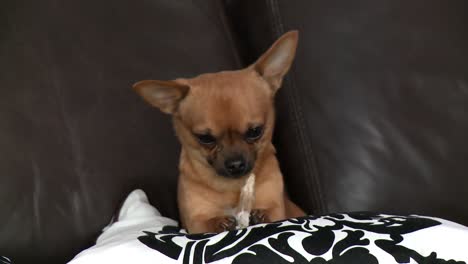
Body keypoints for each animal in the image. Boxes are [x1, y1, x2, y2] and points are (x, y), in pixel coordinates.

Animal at [133, 30, 306, 233]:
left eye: (255, 131)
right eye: (205, 138)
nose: (236, 164)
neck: (233, 188)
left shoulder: (276, 207)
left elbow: (271, 213)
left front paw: (259, 216)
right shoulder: (196, 222)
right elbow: (209, 223)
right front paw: (222, 222)